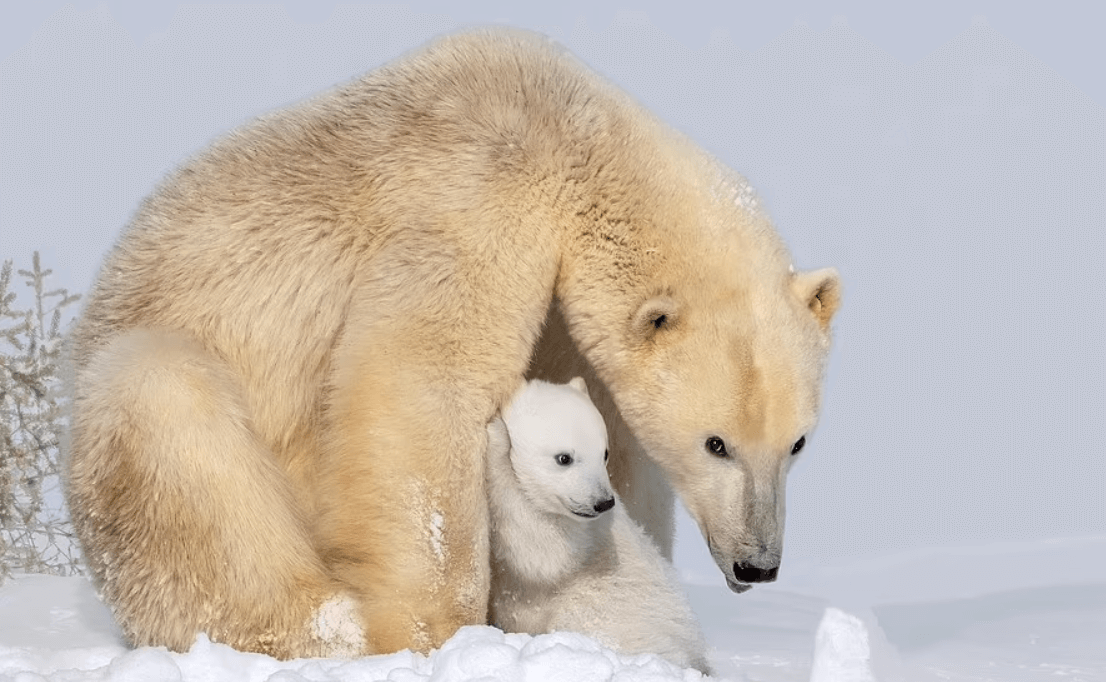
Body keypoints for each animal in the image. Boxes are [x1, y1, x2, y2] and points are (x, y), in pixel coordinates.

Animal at [488, 380, 712, 672]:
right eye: (564, 458)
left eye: (604, 453)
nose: (603, 502)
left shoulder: (583, 539)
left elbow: (541, 551)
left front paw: (495, 434)